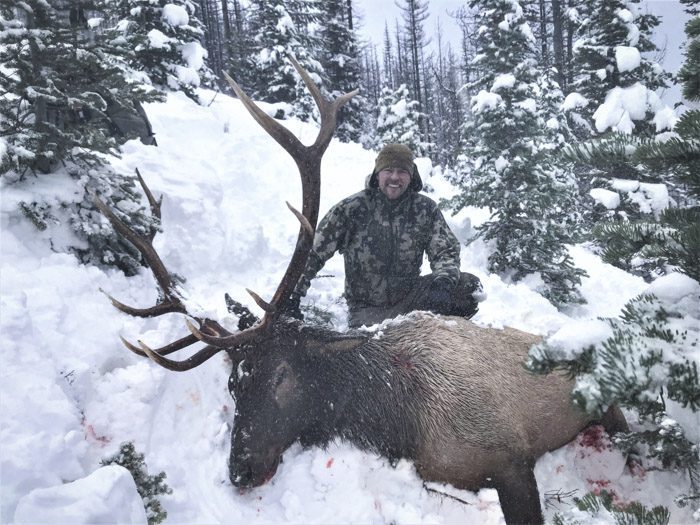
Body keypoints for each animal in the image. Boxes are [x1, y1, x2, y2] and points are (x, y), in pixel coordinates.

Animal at [94, 57, 628, 525]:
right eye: (233, 383)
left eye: (282, 374)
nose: (240, 470)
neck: (397, 420)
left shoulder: (508, 453)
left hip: (610, 403)